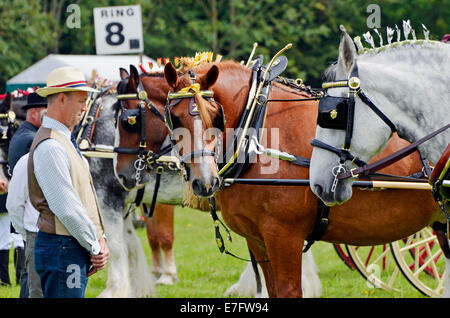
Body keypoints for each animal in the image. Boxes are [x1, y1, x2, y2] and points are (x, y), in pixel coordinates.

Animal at [159, 59, 442, 298]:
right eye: (174, 117)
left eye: (215, 115)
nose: (205, 180)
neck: (255, 128)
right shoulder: (258, 239)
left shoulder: (284, 235)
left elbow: (289, 291)